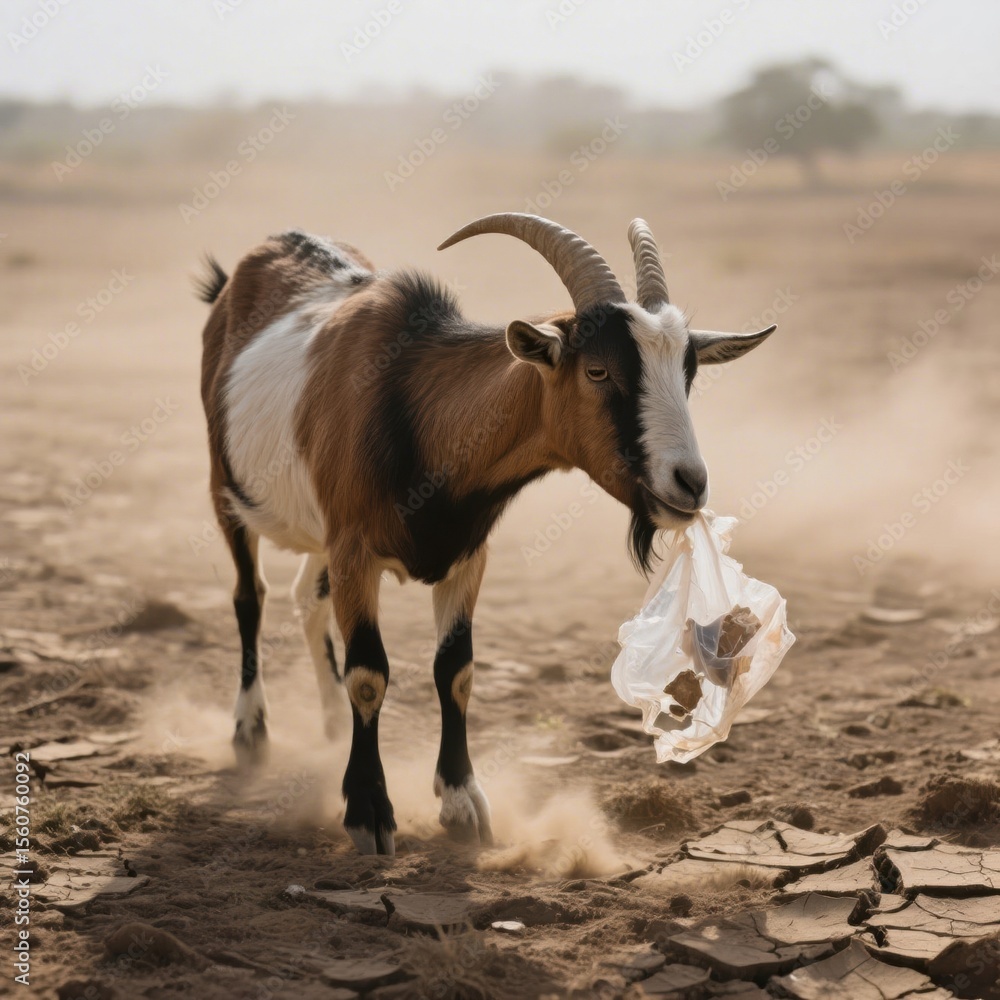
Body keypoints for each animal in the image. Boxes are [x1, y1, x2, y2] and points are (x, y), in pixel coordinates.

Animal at [198, 214, 775, 855]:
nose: (689, 483)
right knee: (250, 598)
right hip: (226, 491)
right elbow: (369, 674)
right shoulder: (354, 552)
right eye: (597, 370)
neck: (414, 409)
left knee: (306, 599)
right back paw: (251, 731)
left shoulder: (466, 557)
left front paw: (461, 803)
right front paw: (369, 810)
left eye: (688, 374)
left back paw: (326, 728)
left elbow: (457, 673)